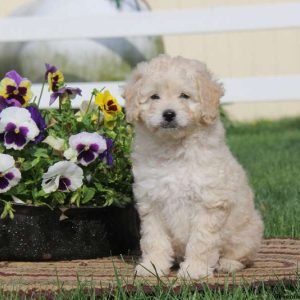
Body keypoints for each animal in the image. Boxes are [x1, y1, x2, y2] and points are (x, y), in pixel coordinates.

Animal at [122, 54, 262, 278]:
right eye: (154, 97)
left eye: (184, 96)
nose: (168, 114)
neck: (174, 149)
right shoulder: (152, 201)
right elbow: (154, 239)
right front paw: (153, 266)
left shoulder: (209, 202)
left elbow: (201, 241)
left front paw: (195, 270)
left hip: (248, 231)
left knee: (243, 255)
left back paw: (228, 264)